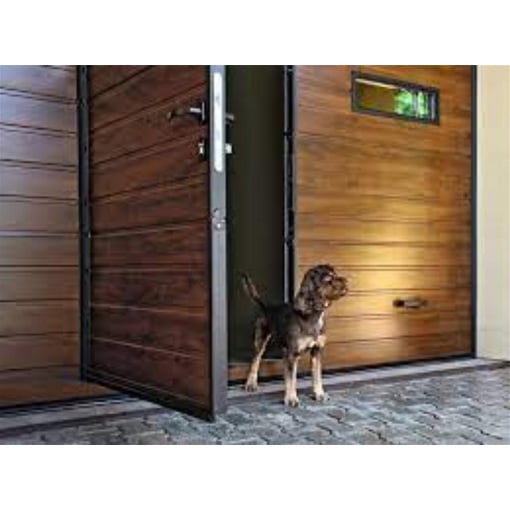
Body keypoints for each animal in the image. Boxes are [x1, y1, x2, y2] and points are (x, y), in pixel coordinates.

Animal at [242, 264, 348, 407]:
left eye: (335, 274)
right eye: (328, 278)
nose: (347, 281)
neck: (312, 315)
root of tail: (265, 307)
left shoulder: (317, 350)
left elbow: (317, 375)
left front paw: (319, 394)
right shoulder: (291, 352)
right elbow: (290, 378)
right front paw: (291, 398)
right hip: (261, 339)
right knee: (255, 360)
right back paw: (251, 384)